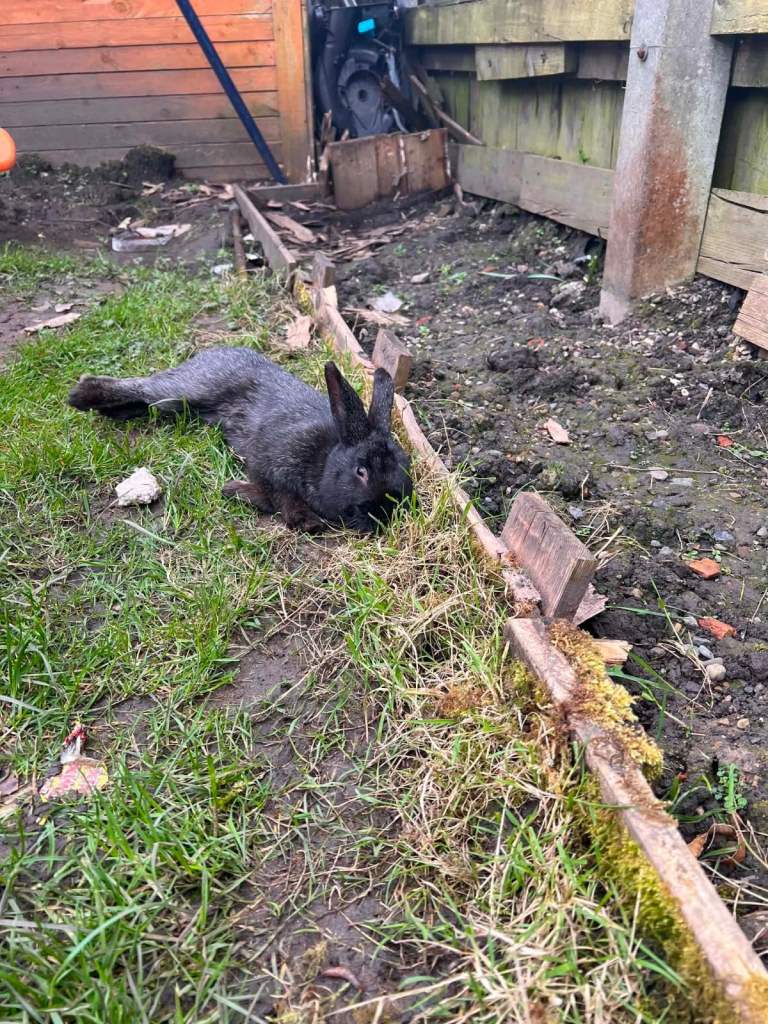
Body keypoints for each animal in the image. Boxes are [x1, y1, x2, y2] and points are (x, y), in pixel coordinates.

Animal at [68, 346, 413, 533]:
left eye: (406, 467)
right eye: (361, 471)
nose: (386, 512)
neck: (326, 457)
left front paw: (235, 492)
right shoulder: (268, 462)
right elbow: (279, 496)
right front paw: (306, 521)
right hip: (187, 389)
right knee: (143, 385)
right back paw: (82, 395)